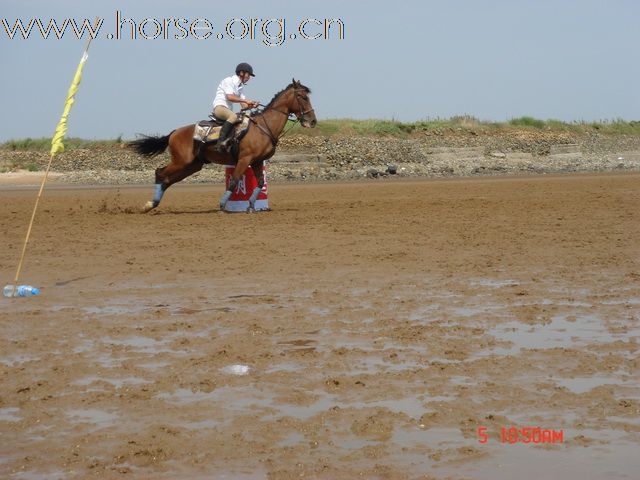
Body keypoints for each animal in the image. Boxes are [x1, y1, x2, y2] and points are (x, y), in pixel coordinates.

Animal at [127, 79, 316, 212]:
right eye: (302, 97)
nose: (312, 121)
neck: (263, 127)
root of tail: (174, 133)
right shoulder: (244, 159)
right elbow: (234, 181)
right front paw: (222, 205)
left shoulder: (256, 161)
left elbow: (260, 182)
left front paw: (251, 206)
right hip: (181, 162)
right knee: (160, 173)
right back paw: (150, 204)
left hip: (192, 165)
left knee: (167, 180)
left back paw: (152, 204)